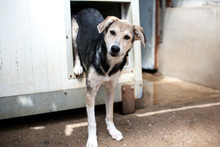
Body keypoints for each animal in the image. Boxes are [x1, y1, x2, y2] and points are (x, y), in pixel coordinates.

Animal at [71, 8, 146, 147]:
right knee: (76, 51)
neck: (109, 63)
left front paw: (112, 131)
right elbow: (92, 121)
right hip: (74, 33)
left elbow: (110, 114)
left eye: (127, 37)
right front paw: (92, 140)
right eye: (112, 32)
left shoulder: (110, 89)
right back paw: (78, 67)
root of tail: (86, 8)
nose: (115, 48)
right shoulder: (90, 91)